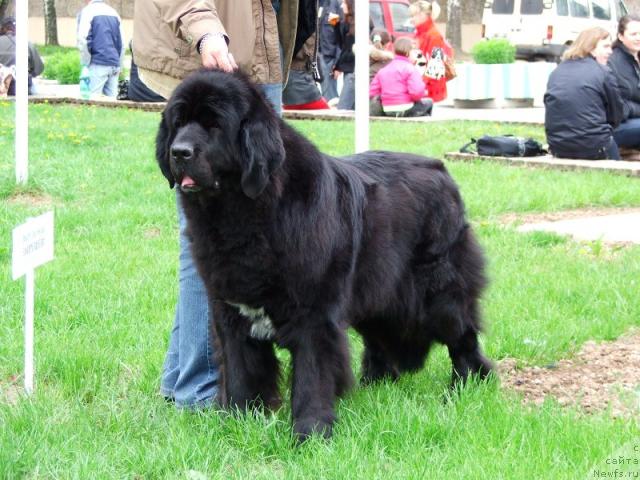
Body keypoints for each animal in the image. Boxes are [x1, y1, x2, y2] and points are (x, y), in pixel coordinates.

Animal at [156, 69, 496, 440]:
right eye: (178, 122)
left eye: (214, 125)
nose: (179, 152)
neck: (243, 213)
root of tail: (441, 170)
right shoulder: (231, 312)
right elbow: (241, 371)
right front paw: (238, 424)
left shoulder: (314, 314)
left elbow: (311, 374)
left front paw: (310, 433)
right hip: (377, 291)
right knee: (381, 338)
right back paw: (375, 385)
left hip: (438, 293)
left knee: (463, 336)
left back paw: (468, 385)